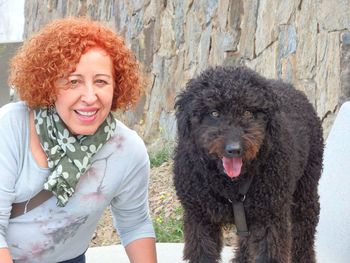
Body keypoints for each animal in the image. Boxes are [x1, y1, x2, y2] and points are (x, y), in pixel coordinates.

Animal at [174, 66, 324, 263]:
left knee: (303, 231)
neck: (231, 183)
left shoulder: (270, 219)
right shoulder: (199, 218)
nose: (234, 149)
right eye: (214, 113)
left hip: (305, 190)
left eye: (247, 112)